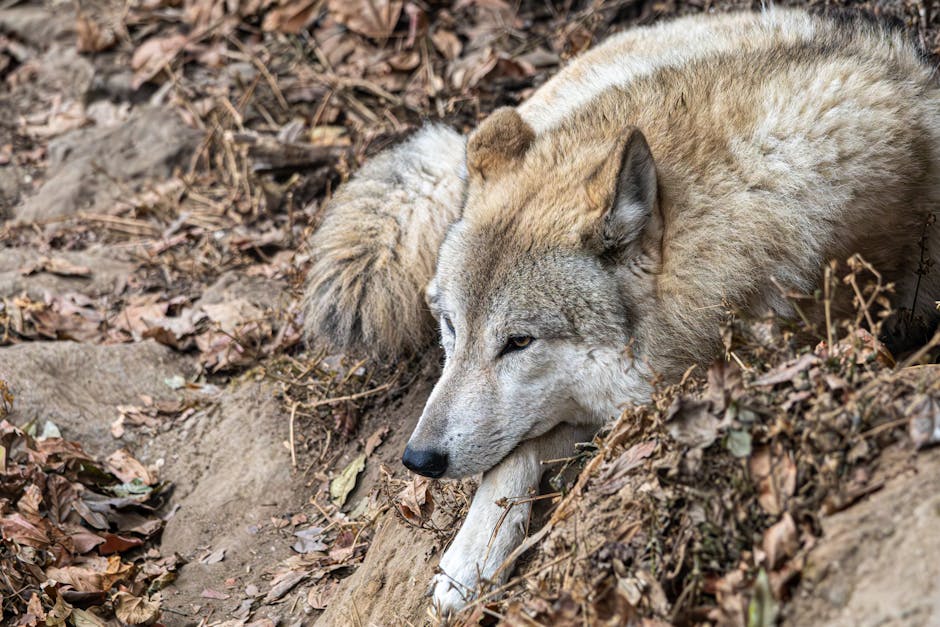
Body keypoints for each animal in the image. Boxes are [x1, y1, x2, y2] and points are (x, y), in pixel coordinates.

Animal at [302, 8, 940, 620]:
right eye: (452, 329)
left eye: (519, 342)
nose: (418, 459)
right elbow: (510, 463)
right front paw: (467, 563)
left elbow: (521, 452)